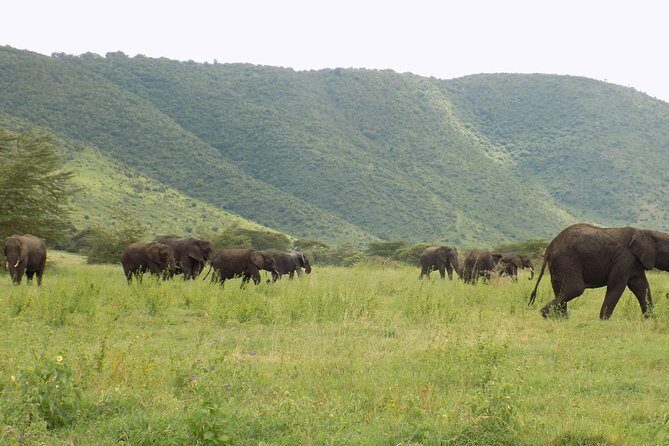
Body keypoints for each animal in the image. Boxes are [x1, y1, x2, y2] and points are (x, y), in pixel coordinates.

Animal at [529, 223, 669, 320]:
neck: (647, 232)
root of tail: (550, 246)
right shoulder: (624, 258)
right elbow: (616, 286)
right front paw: (603, 321)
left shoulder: (635, 263)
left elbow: (641, 287)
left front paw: (651, 319)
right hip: (566, 260)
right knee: (574, 289)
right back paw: (543, 315)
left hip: (558, 265)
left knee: (560, 290)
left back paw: (561, 319)